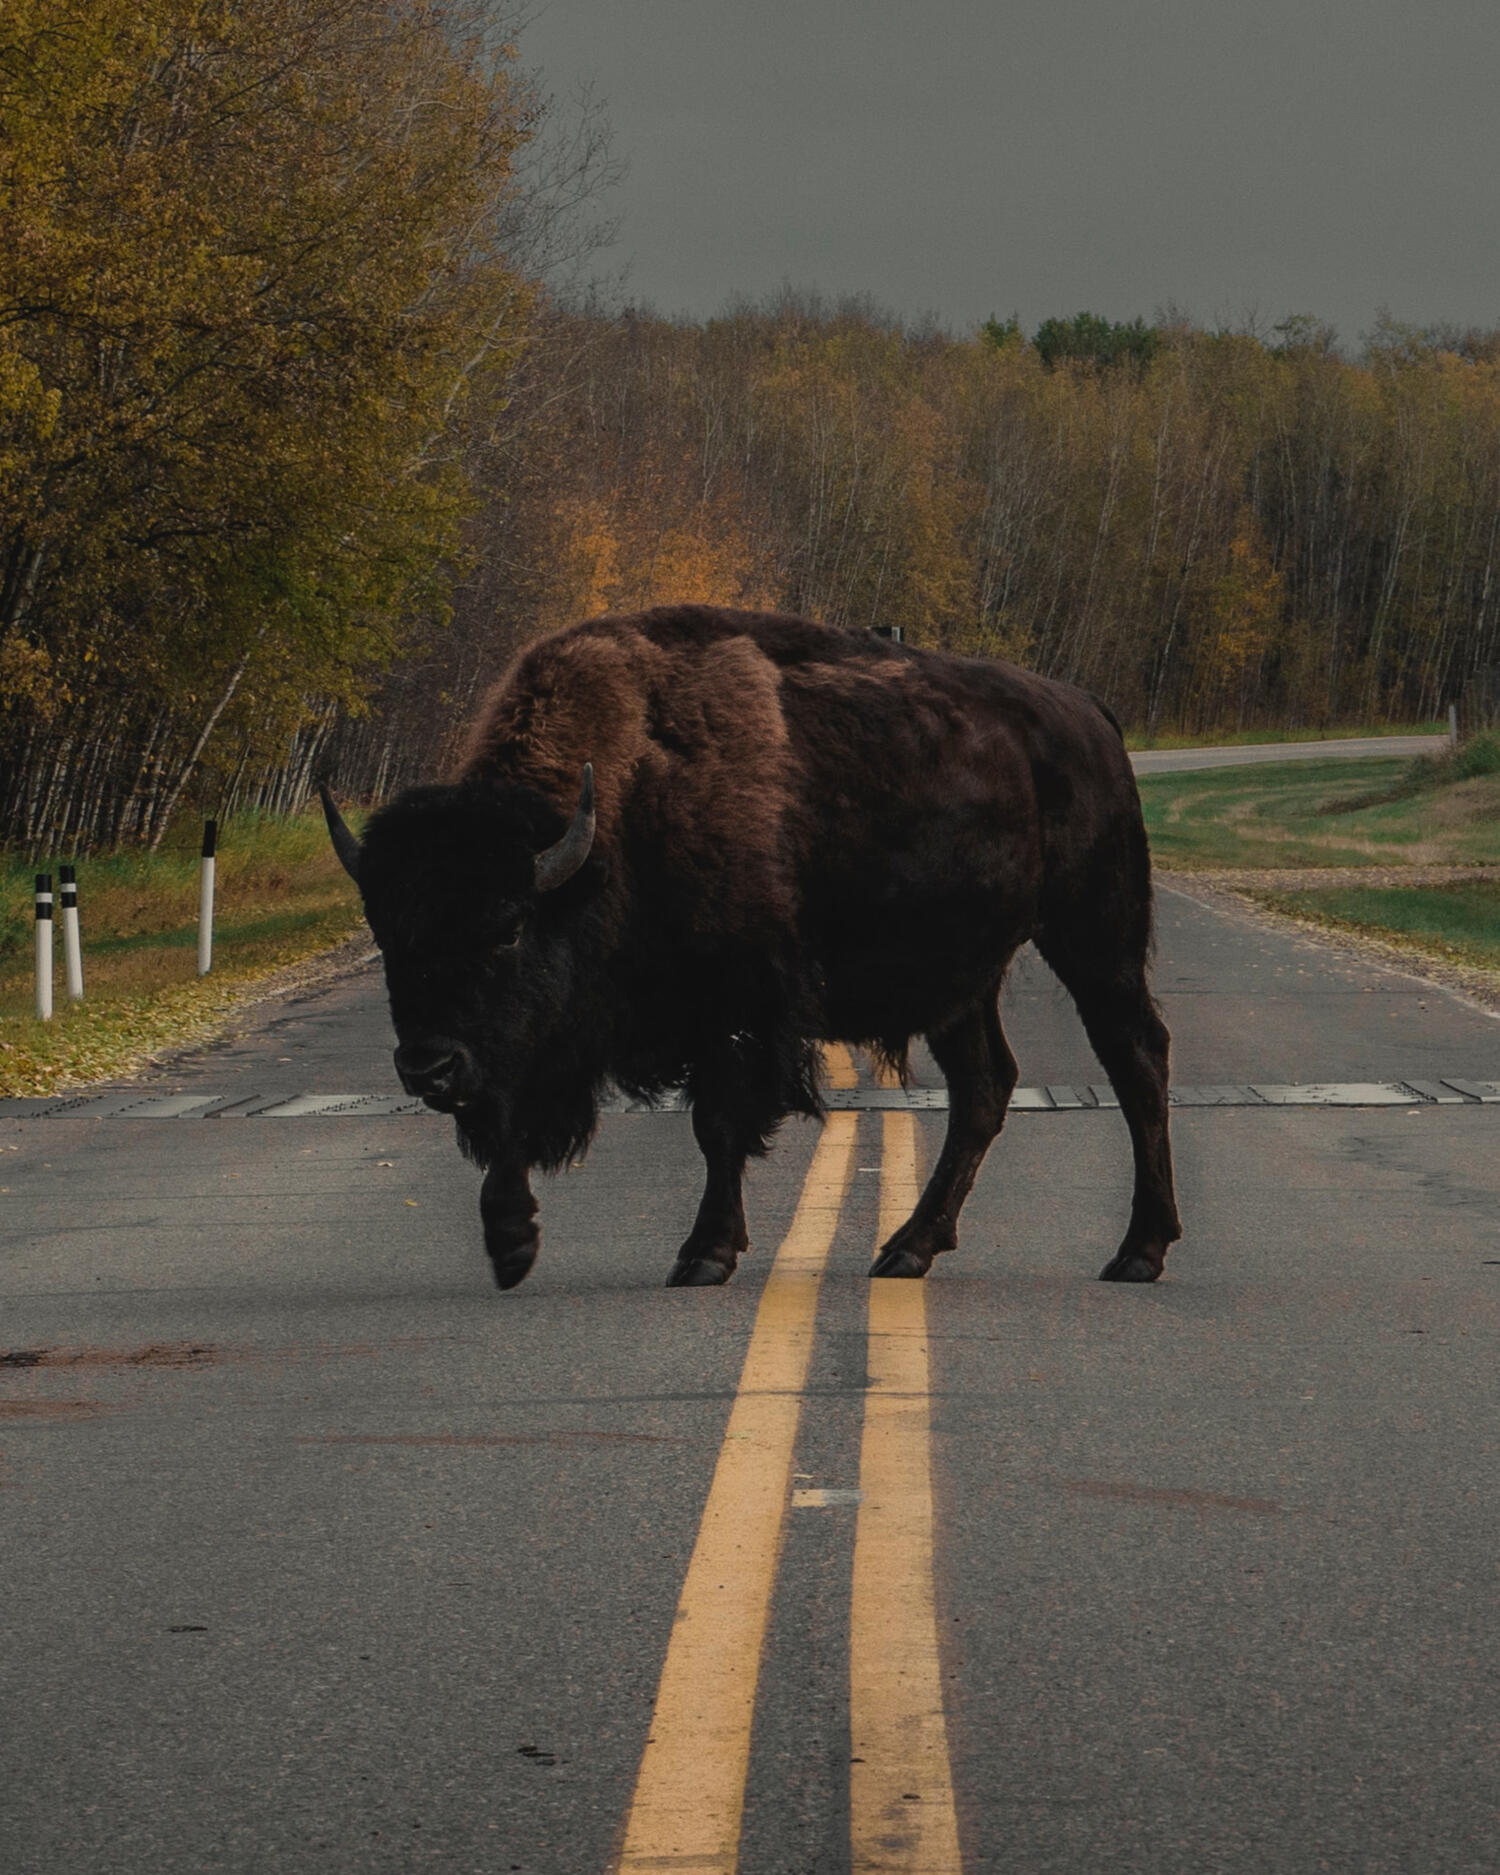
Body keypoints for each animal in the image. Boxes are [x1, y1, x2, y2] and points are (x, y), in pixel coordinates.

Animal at [318, 607, 1185, 1297]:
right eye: (388, 936)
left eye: (507, 926)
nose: (426, 1066)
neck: (615, 823)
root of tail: (1088, 714)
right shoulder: (545, 1044)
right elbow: (511, 1119)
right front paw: (510, 1245)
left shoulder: (735, 1011)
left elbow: (718, 1127)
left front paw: (704, 1253)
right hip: (961, 981)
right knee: (985, 1086)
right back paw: (907, 1248)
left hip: (1093, 934)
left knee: (1135, 1057)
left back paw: (1139, 1251)